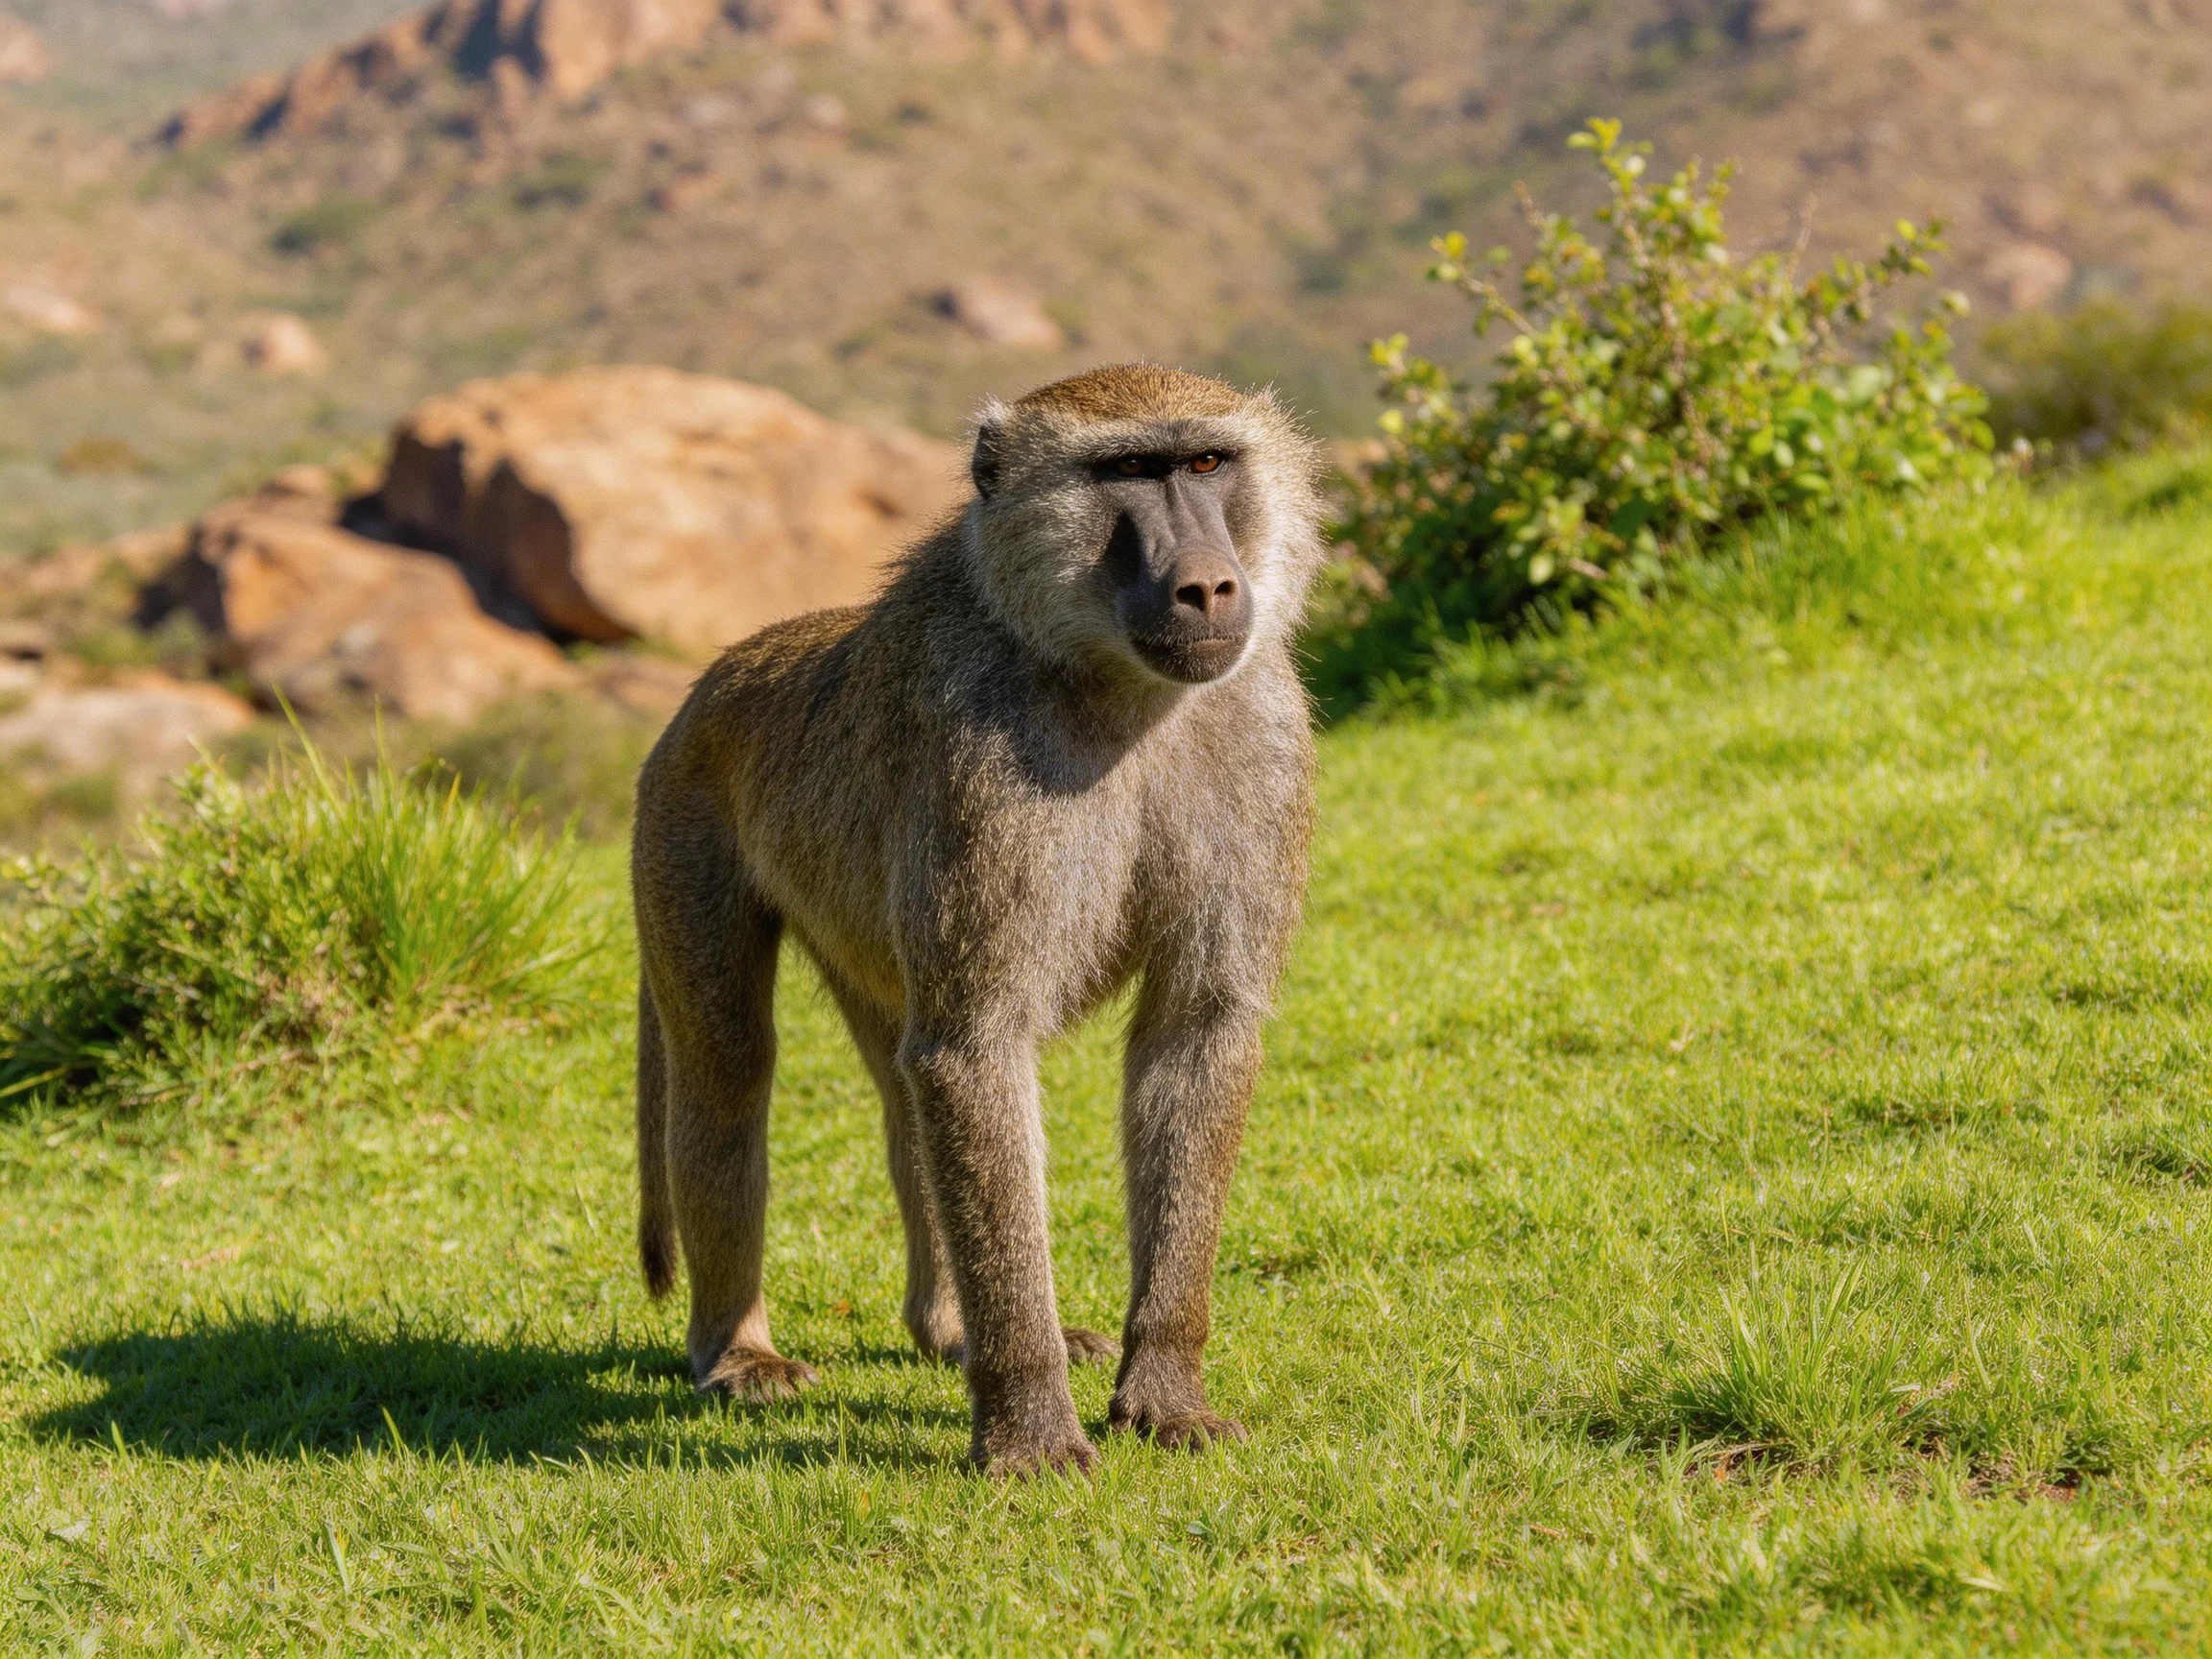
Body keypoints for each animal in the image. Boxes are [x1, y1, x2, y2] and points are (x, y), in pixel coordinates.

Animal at [631, 364, 1326, 1475]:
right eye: (1125, 472)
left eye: (1207, 462)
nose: (1208, 587)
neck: (1115, 686)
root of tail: (721, 674)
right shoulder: (982, 766)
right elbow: (975, 1051)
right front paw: (1033, 1430)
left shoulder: (1262, 739)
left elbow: (1194, 1037)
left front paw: (1165, 1393)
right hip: (679, 823)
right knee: (731, 1068)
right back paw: (739, 1350)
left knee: (898, 1087)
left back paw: (947, 1329)